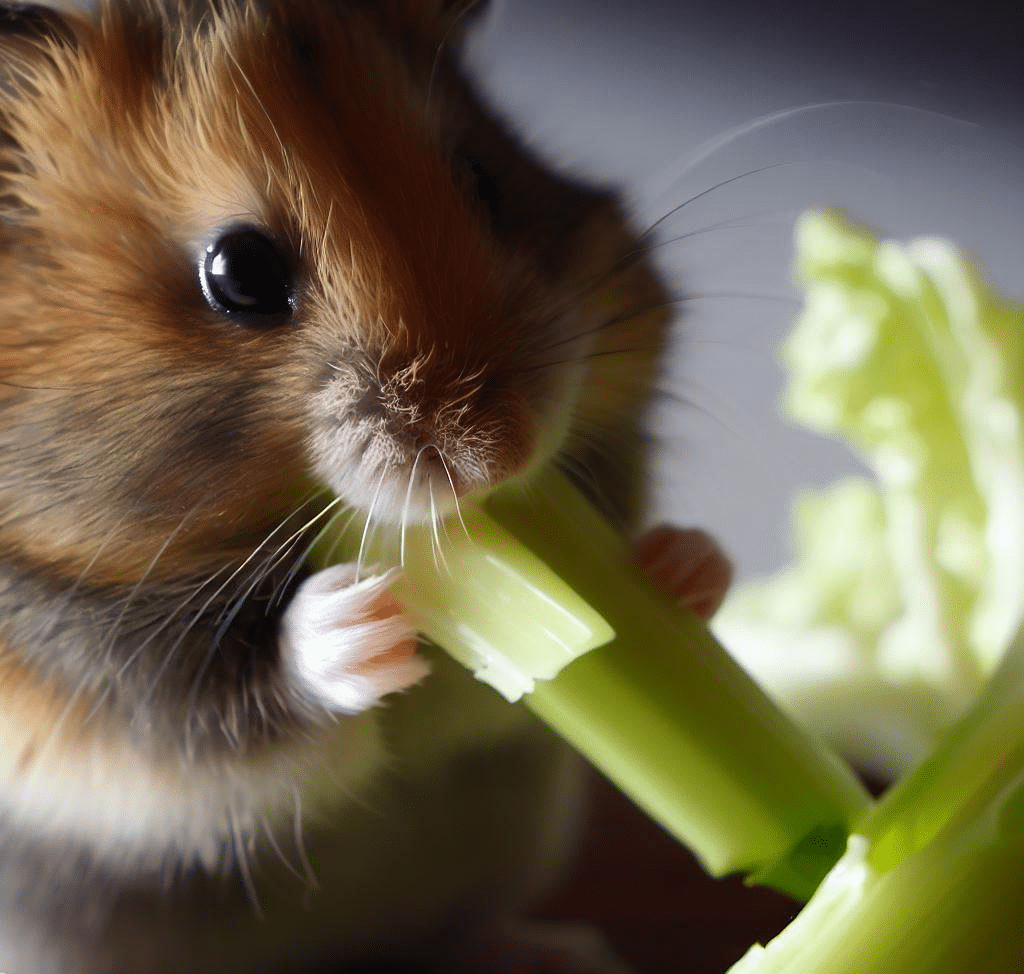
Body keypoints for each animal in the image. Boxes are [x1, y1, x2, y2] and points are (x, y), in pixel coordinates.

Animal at [0, 1, 733, 974]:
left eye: (482, 179)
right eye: (240, 274)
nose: (503, 455)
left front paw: (683, 567)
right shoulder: (87, 702)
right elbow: (219, 706)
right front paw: (360, 622)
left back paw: (563, 950)